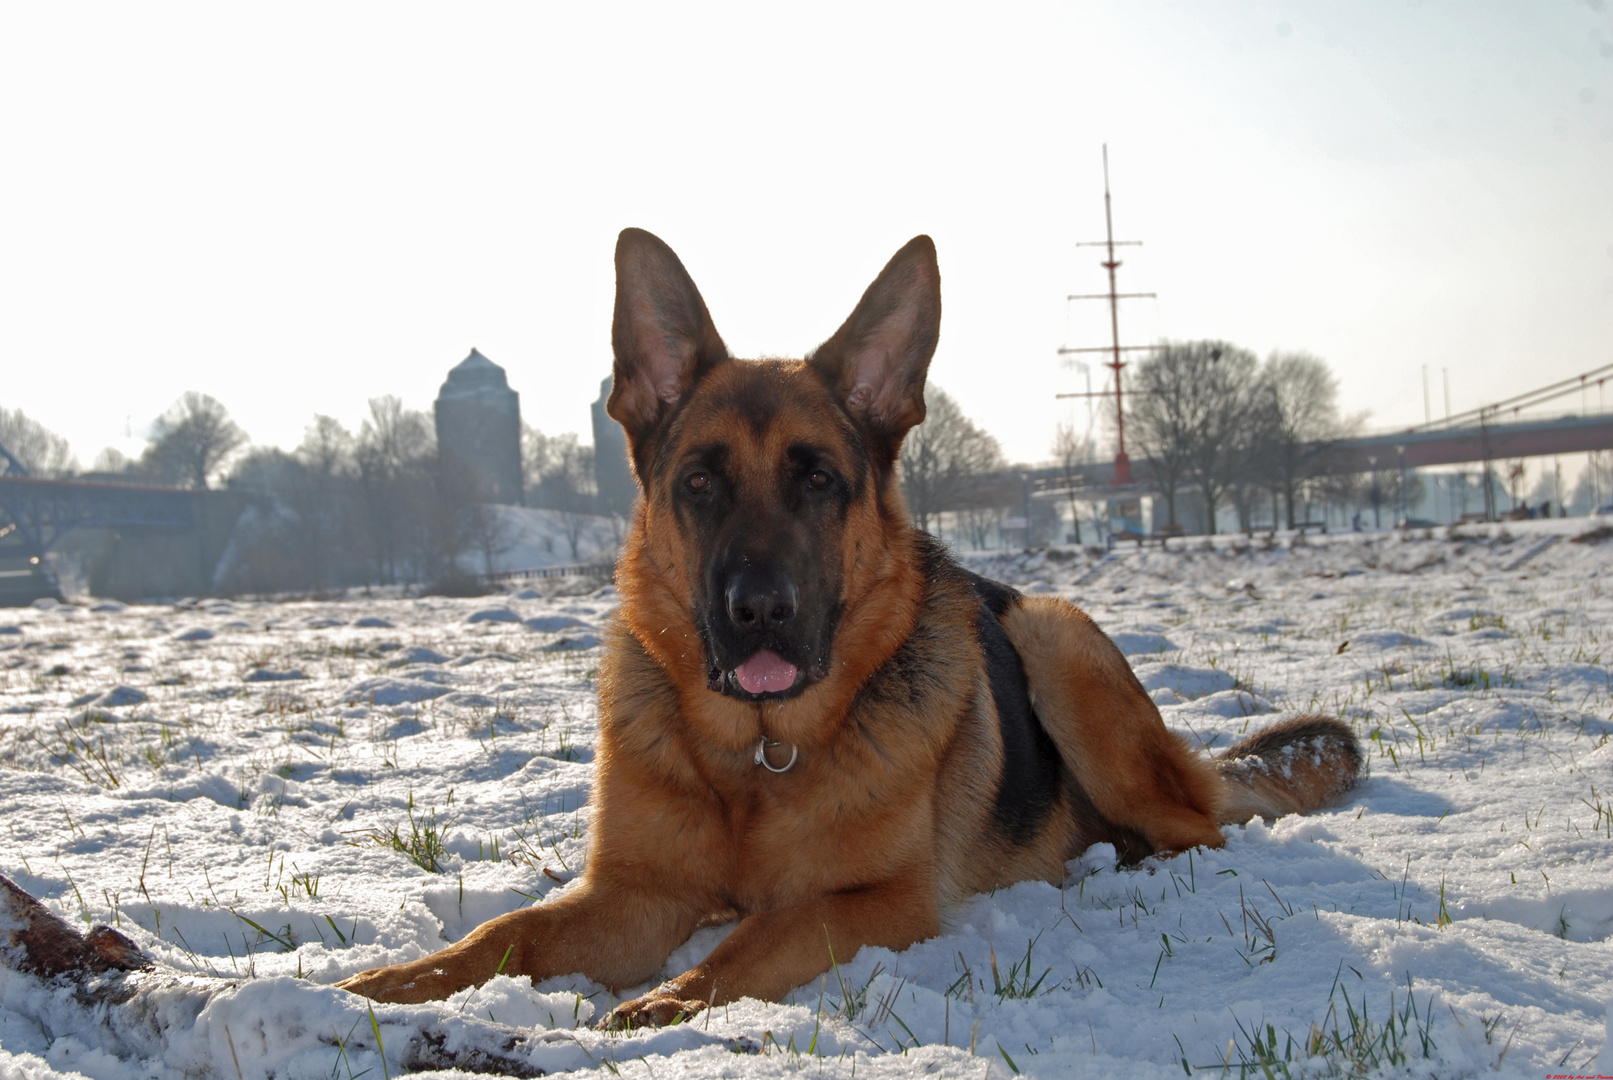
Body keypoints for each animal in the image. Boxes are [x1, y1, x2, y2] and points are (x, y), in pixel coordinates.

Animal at [340, 230, 1361, 1031]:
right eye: (699, 481)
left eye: (819, 479)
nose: (758, 611)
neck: (755, 757)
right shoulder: (633, 894)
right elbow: (502, 933)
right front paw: (386, 988)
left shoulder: (878, 901)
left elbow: (763, 930)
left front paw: (667, 1001)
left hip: (1056, 642)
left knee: (1197, 834)